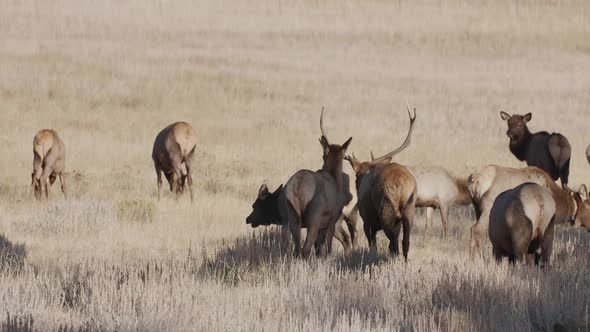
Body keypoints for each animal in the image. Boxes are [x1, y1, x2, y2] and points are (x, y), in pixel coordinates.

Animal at [280, 107, 354, 258]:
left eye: (323, 155)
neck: (334, 177)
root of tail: (298, 188)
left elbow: (319, 247)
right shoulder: (331, 220)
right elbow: (327, 246)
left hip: (293, 216)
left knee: (297, 248)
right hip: (314, 217)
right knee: (305, 248)